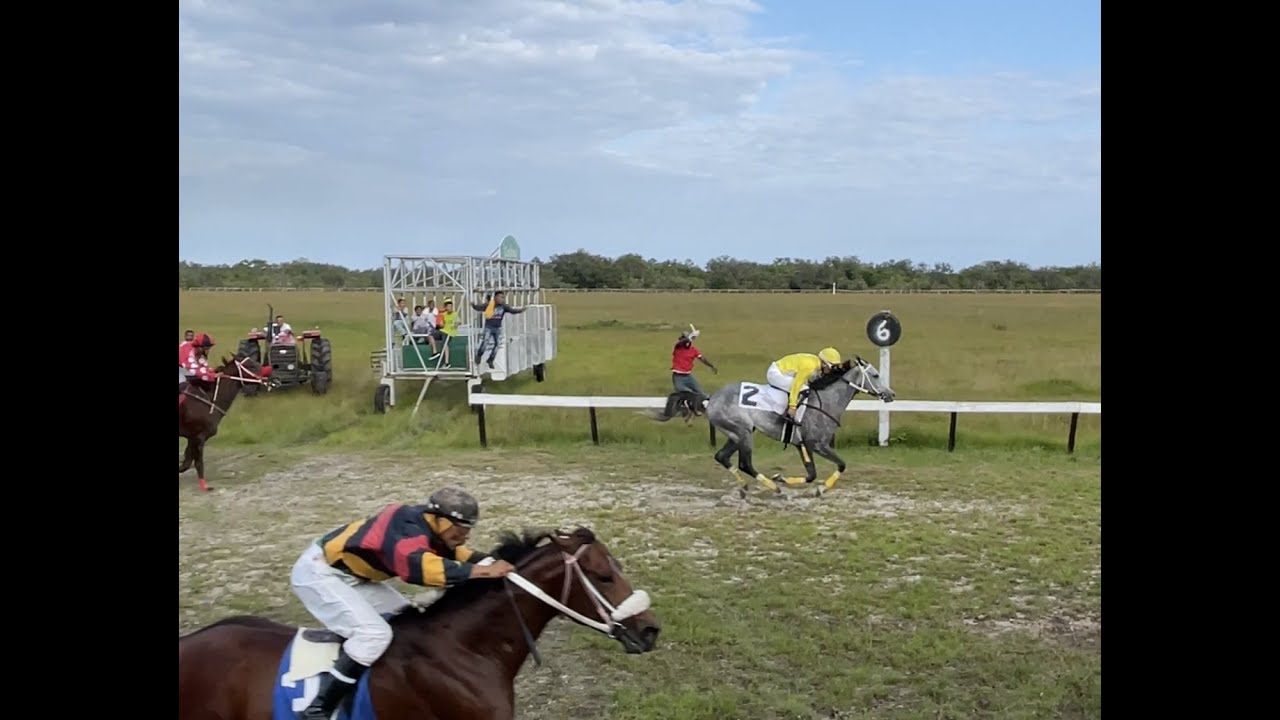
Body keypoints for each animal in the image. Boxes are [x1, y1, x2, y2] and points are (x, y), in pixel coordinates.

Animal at [179, 352, 271, 492]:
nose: (269, 371)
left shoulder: (192, 437)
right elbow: (198, 462)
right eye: (250, 365)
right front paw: (204, 486)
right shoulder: (199, 436)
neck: (208, 399)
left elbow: (187, 462)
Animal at [702, 356, 895, 498]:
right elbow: (841, 465)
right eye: (875, 375)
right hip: (743, 432)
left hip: (737, 434)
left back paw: (744, 486)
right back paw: (774, 488)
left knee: (722, 456)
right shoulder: (817, 444)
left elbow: (811, 475)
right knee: (744, 464)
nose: (891, 394)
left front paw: (781, 477)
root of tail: (711, 399)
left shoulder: (802, 445)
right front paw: (821, 489)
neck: (825, 402)